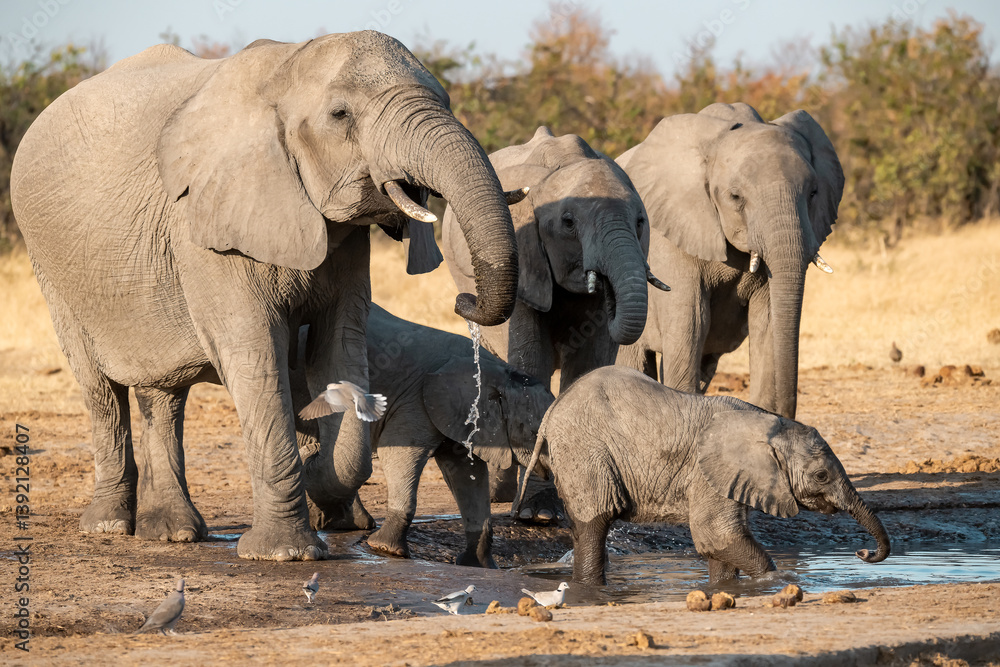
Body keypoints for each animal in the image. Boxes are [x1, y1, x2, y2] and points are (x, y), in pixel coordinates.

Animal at [10, 32, 519, 562]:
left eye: (446, 101)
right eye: (340, 115)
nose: (464, 302)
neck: (284, 70)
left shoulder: (343, 242)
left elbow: (339, 350)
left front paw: (322, 482)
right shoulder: (205, 227)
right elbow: (255, 354)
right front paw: (284, 552)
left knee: (163, 392)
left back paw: (171, 531)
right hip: (52, 265)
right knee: (99, 387)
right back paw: (109, 526)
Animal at [303, 305, 553, 567]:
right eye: (534, 433)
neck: (497, 369)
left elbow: (467, 473)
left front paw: (479, 565)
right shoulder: (416, 399)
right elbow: (397, 452)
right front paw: (385, 549)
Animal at [442, 126, 667, 509]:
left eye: (640, 223)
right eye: (568, 223)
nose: (463, 301)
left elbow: (589, 363)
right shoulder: (525, 257)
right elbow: (533, 362)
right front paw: (537, 512)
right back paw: (498, 495)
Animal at [519, 366, 891, 586]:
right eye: (821, 476)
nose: (863, 554)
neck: (770, 426)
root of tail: (552, 409)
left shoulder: (731, 478)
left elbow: (721, 546)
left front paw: (726, 589)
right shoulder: (708, 472)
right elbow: (716, 535)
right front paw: (773, 584)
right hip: (585, 451)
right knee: (594, 523)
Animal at [615, 103, 844, 419]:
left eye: (813, 192)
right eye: (735, 197)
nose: (786, 417)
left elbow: (767, 321)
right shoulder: (670, 238)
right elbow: (692, 322)